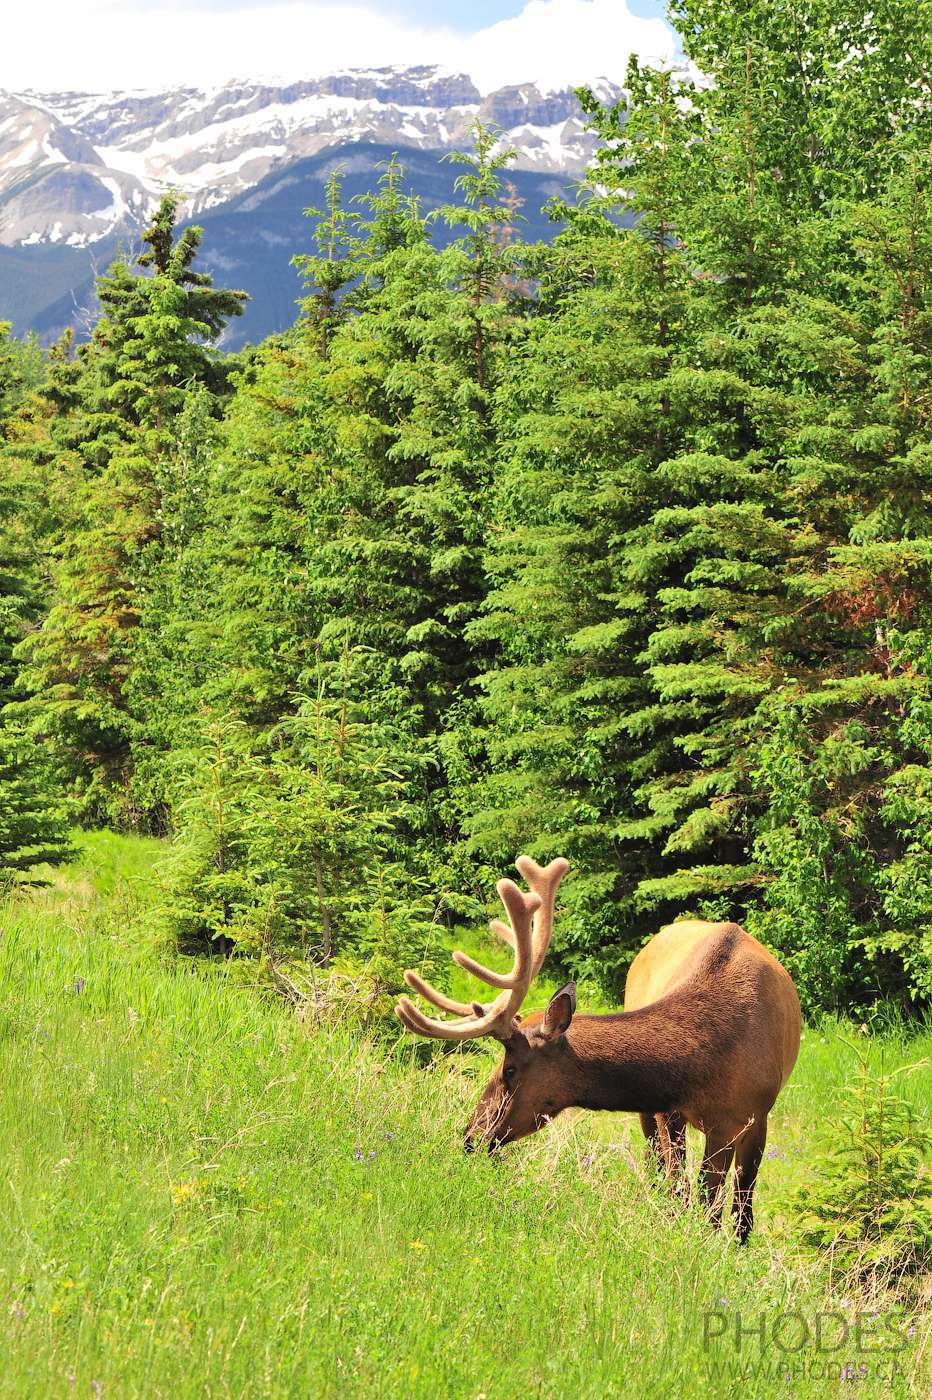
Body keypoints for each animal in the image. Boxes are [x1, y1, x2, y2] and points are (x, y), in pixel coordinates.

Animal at [394, 856, 800, 1243]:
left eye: (508, 1070)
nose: (471, 1136)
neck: (707, 1063)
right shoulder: (669, 1111)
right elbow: (685, 1189)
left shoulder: (752, 1116)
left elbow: (734, 1207)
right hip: (654, 1116)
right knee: (661, 1169)